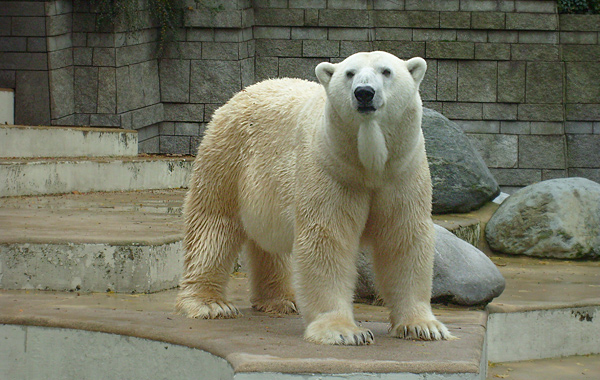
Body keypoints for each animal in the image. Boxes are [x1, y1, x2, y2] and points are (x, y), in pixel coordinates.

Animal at [176, 50, 452, 344]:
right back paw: (210, 304)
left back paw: (281, 300)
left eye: (386, 71)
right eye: (350, 73)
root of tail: (242, 92)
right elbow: (327, 238)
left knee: (269, 241)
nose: (364, 93)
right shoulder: (329, 169)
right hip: (228, 154)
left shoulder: (402, 173)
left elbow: (403, 237)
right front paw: (344, 332)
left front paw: (424, 326)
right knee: (213, 223)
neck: (368, 166)